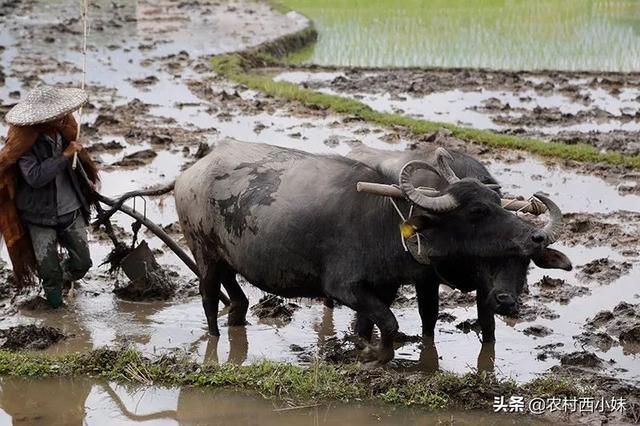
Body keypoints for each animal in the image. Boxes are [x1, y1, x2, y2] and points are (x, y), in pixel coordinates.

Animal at [174, 139, 568, 362]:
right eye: (477, 211)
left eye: (497, 201)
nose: (534, 237)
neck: (387, 223)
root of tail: (191, 173)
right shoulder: (343, 287)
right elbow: (390, 322)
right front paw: (379, 354)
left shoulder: (386, 285)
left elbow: (374, 322)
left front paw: (363, 349)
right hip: (202, 252)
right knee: (209, 298)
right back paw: (213, 341)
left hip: (225, 256)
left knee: (237, 296)